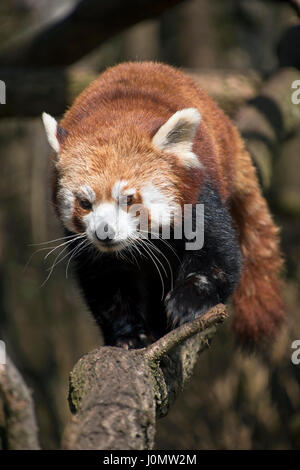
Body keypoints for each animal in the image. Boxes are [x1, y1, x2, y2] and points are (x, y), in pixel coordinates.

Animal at [41, 61, 284, 348]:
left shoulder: (197, 194)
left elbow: (220, 256)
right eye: (85, 203)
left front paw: (188, 302)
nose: (104, 233)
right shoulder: (89, 249)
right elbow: (106, 283)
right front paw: (128, 334)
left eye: (129, 199)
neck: (114, 118)